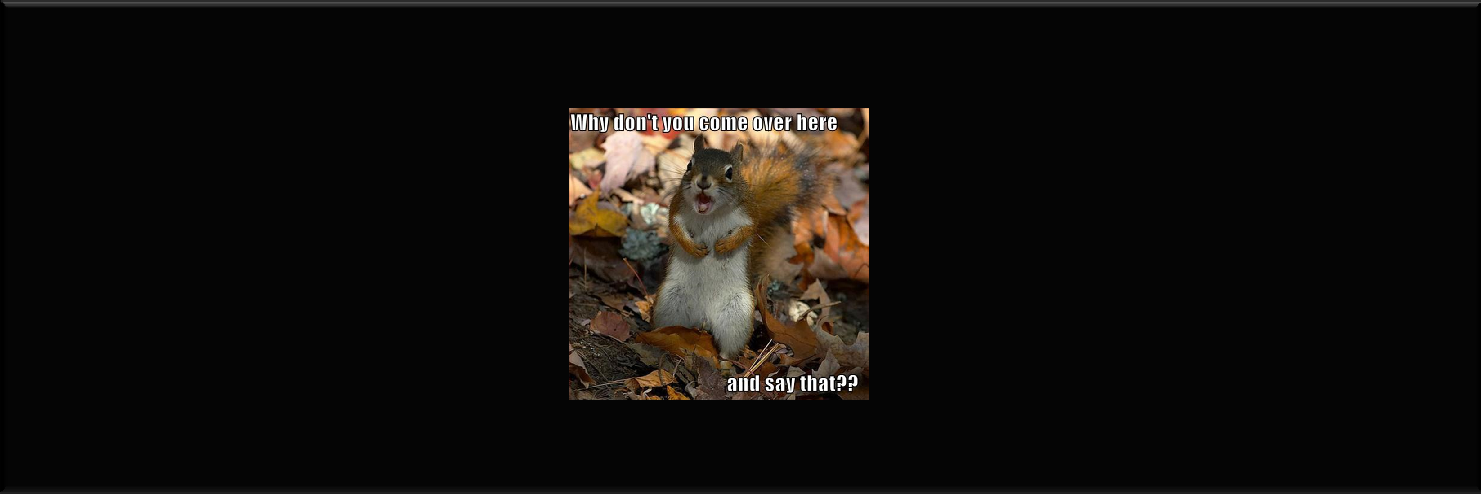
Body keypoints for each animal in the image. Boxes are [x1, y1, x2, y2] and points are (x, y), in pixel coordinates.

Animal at [652, 135, 830, 359]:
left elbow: (748, 230)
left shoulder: (749, 213)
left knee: (728, 347)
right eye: (689, 165)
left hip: (737, 313)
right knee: (669, 327)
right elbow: (676, 229)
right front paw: (692, 247)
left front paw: (725, 245)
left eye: (729, 172)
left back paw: (725, 362)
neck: (711, 214)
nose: (703, 182)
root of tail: (703, 317)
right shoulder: (677, 208)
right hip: (670, 301)